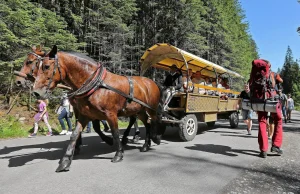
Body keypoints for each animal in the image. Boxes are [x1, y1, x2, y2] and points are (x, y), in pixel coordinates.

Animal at [32, 45, 162, 171]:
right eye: (37, 66)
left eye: (46, 66)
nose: (36, 92)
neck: (97, 85)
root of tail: (151, 82)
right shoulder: (85, 115)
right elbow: (75, 135)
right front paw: (65, 161)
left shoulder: (111, 114)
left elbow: (115, 132)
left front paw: (118, 153)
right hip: (139, 110)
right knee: (147, 123)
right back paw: (146, 145)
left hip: (150, 108)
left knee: (154, 120)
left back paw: (155, 138)